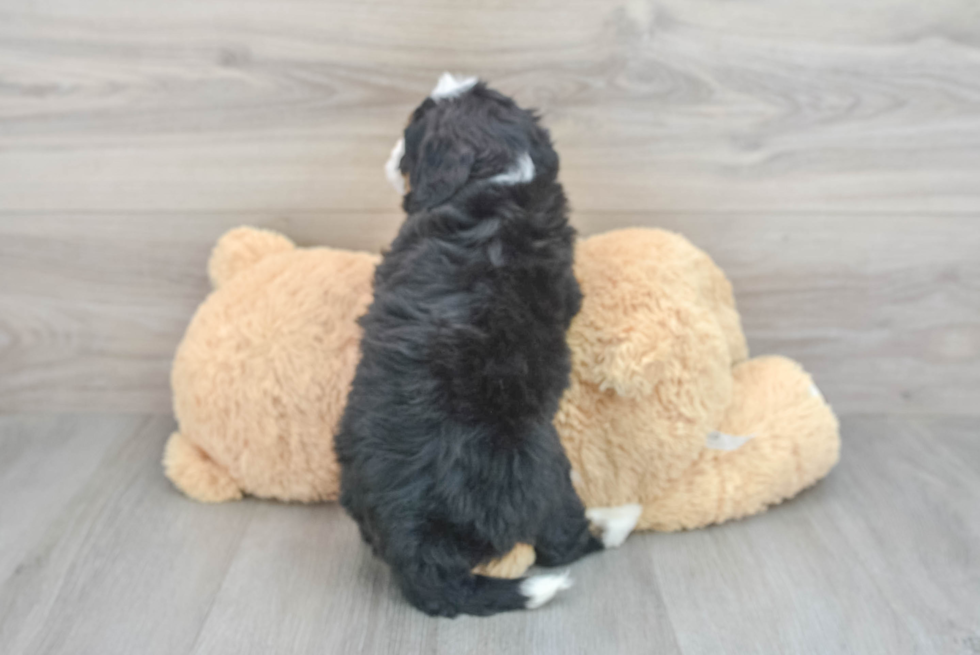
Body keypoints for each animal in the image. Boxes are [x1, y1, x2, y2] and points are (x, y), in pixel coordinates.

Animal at [334, 74, 644, 616]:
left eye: (409, 134)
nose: (389, 156)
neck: (499, 178)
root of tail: (416, 552)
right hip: (549, 468)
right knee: (565, 542)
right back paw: (618, 519)